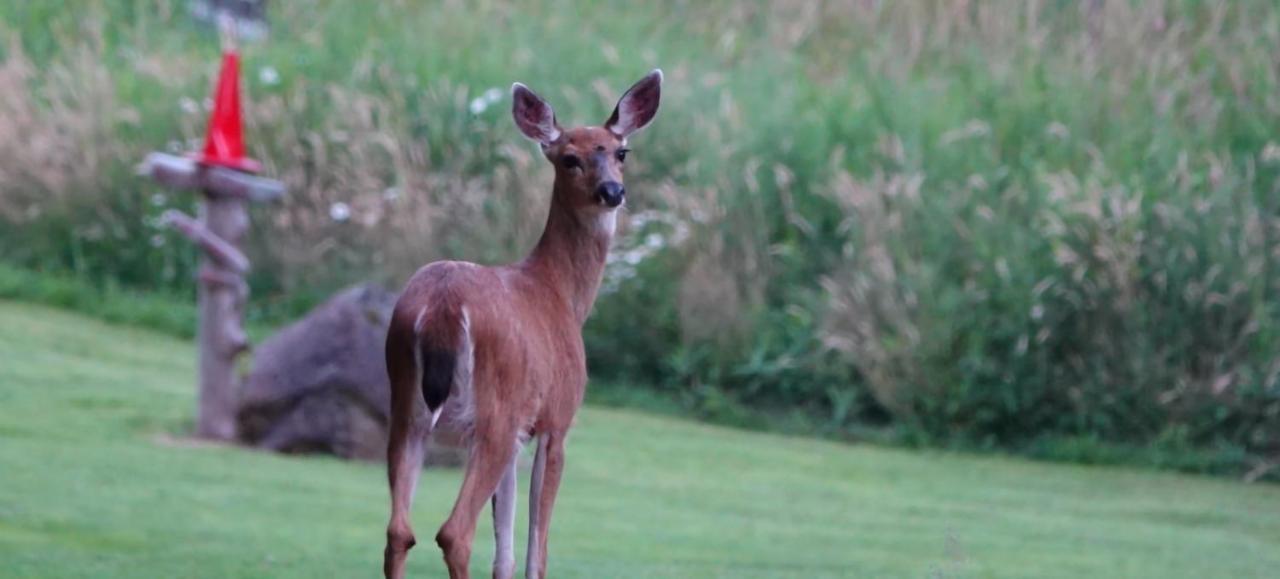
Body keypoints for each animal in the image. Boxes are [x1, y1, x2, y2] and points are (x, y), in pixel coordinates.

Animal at [378, 68, 665, 579]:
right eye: (569, 158)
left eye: (620, 152)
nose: (612, 192)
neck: (561, 295)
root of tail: (443, 309)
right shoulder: (555, 419)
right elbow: (536, 549)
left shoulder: (517, 434)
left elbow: (505, 552)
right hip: (493, 407)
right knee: (454, 532)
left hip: (407, 402)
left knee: (398, 531)